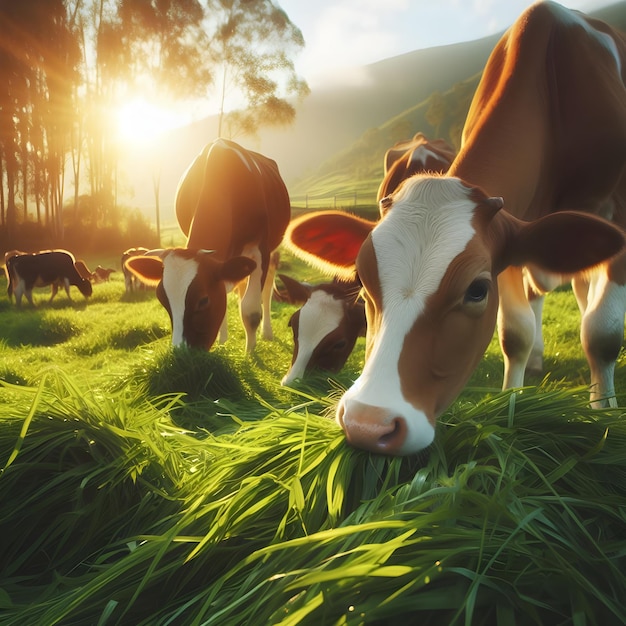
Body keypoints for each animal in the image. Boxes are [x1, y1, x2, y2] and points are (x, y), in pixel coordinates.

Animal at [124, 138, 290, 352]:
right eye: (162, 299)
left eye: (203, 301)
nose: (181, 354)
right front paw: (224, 343)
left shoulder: (260, 247)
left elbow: (251, 310)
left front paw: (249, 353)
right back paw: (224, 339)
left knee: (268, 285)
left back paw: (267, 333)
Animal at [286, 2, 624, 456]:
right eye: (363, 280)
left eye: (477, 290)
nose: (367, 425)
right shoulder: (514, 241)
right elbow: (514, 333)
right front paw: (513, 403)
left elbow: (602, 334)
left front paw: (603, 415)